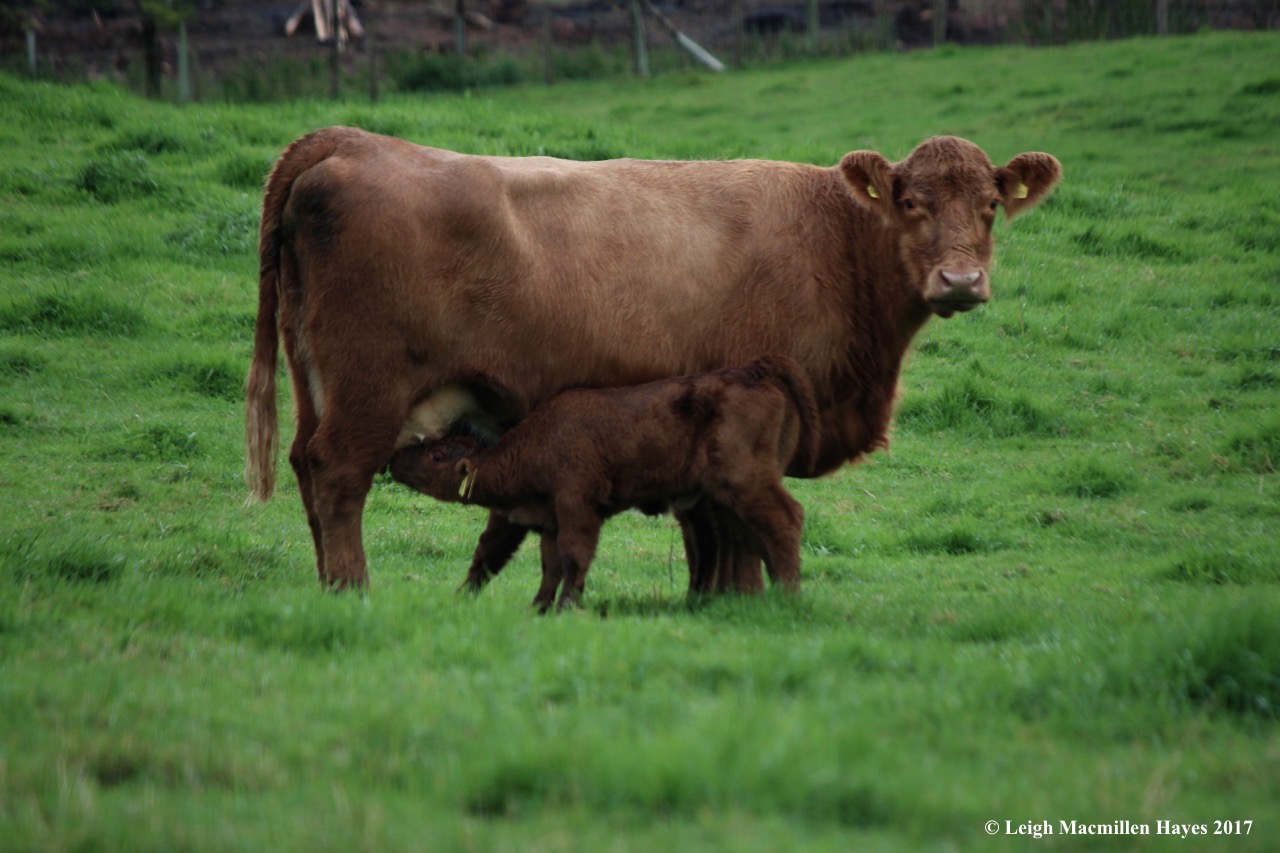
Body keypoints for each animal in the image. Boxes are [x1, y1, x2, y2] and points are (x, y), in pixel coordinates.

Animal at [387, 357, 819, 610]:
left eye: (436, 456)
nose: (395, 459)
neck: (540, 440)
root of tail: (756, 375)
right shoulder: (551, 519)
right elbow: (549, 565)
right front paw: (539, 606)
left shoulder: (578, 507)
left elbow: (574, 557)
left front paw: (567, 606)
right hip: (729, 494)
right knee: (751, 534)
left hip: (746, 482)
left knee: (787, 519)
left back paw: (790, 597)